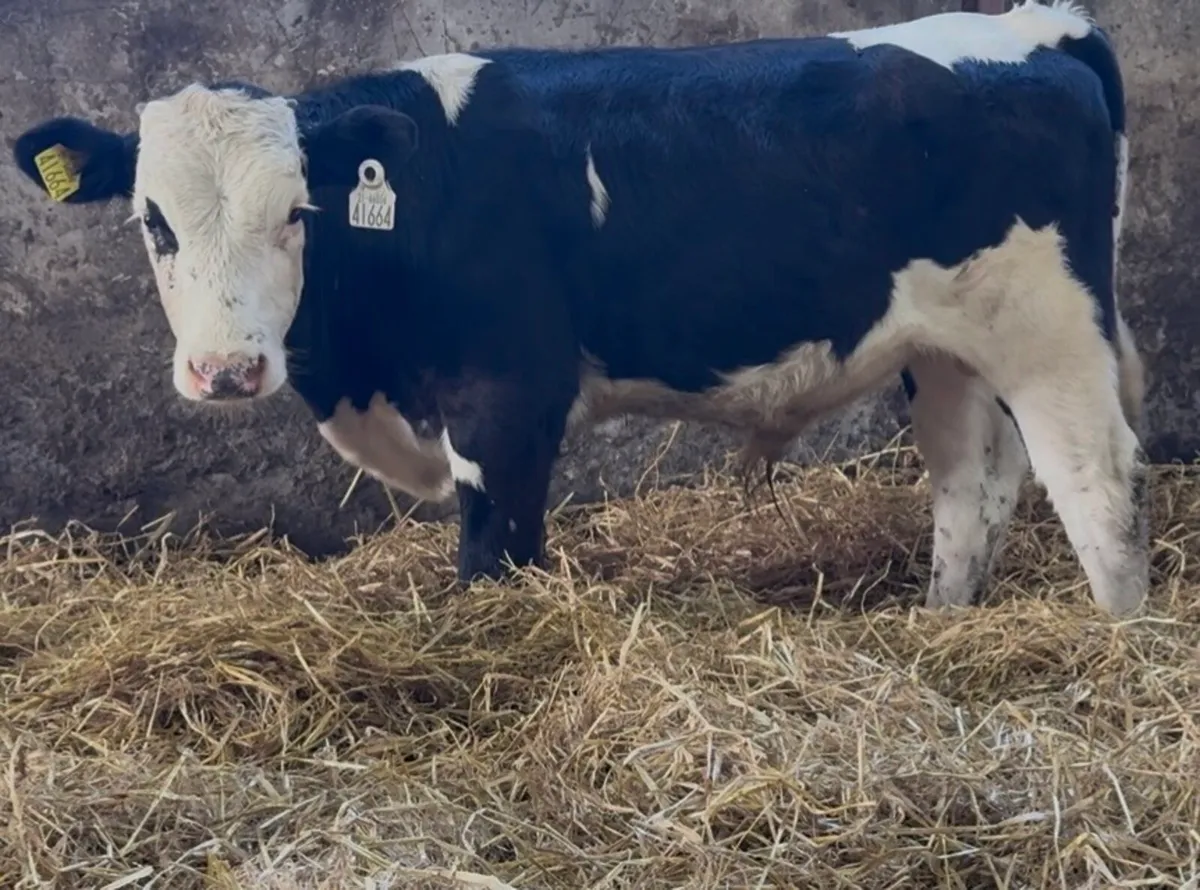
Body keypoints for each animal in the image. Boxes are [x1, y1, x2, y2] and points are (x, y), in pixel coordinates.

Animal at [12, 0, 1149, 615]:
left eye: (297, 211)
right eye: (152, 221)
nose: (228, 369)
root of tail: (1039, 29)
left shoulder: (505, 398)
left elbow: (494, 552)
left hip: (1052, 331)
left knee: (1095, 481)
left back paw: (1118, 640)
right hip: (943, 345)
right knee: (972, 484)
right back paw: (941, 618)